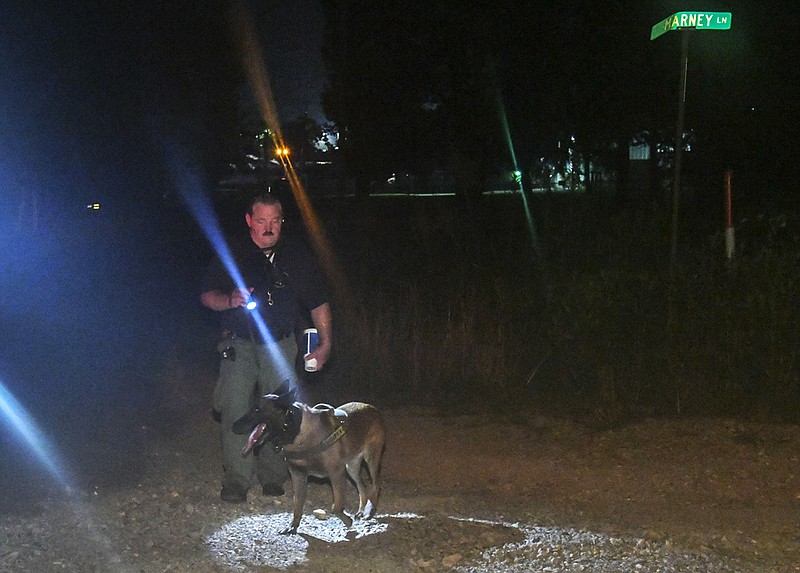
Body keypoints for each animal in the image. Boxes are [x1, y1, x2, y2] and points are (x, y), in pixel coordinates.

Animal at [233, 392, 386, 536]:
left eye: (256, 409)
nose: (233, 426)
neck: (296, 430)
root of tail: (372, 408)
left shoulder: (336, 472)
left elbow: (336, 507)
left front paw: (347, 520)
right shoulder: (298, 475)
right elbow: (297, 504)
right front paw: (293, 526)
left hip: (371, 458)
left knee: (376, 483)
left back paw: (369, 511)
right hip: (351, 467)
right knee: (362, 485)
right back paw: (361, 510)